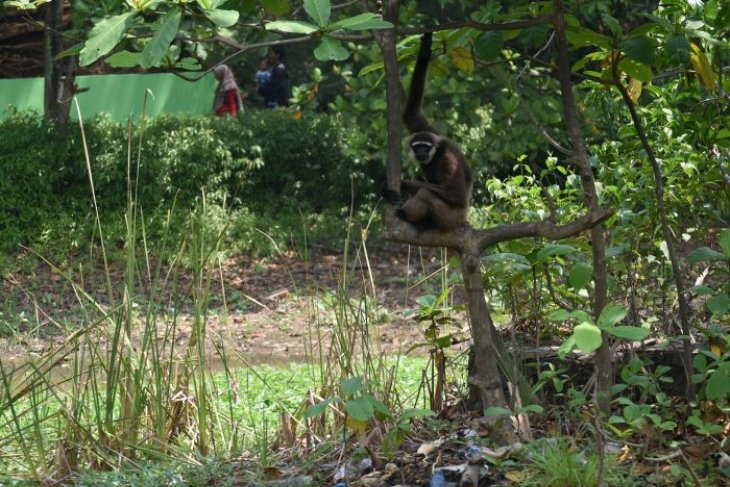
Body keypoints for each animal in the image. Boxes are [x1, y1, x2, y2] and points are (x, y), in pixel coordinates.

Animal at [382, 32, 472, 233]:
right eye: (417, 147)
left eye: (426, 147)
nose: (421, 152)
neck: (436, 155)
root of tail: (463, 218)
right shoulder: (425, 130)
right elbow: (411, 114)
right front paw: (424, 50)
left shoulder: (448, 160)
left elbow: (456, 194)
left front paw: (403, 184)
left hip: (450, 219)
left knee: (425, 193)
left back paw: (407, 217)